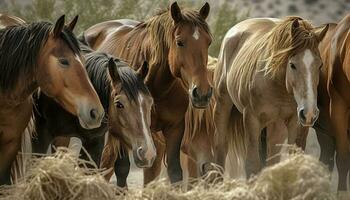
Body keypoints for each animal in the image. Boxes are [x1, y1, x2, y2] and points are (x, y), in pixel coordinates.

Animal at [80, 1, 212, 183]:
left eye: (208, 42)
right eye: (180, 42)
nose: (202, 93)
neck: (158, 88)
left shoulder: (174, 129)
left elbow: (174, 172)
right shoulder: (123, 127)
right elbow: (122, 169)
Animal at [212, 16, 330, 177]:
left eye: (320, 65)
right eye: (292, 65)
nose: (309, 113)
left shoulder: (295, 123)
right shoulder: (252, 120)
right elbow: (252, 165)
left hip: (276, 127)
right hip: (222, 104)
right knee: (221, 149)